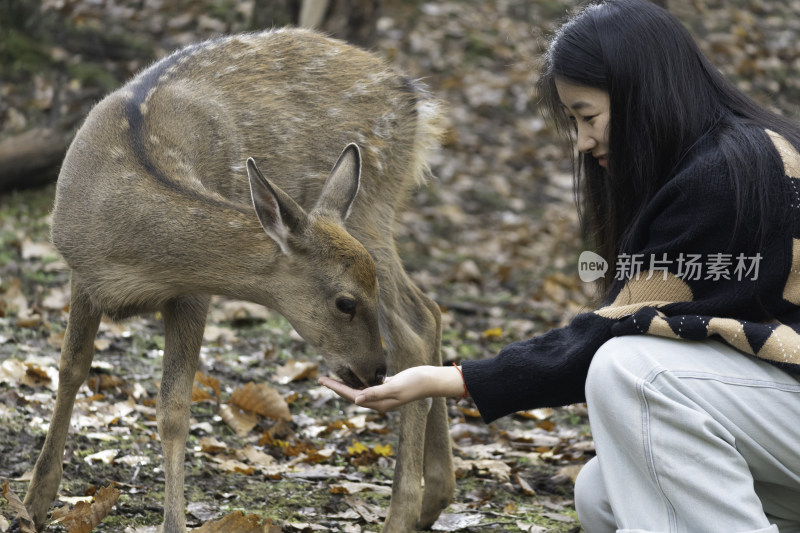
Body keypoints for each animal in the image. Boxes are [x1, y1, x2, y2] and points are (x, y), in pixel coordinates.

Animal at [18, 28, 454, 532]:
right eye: (345, 302)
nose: (374, 371)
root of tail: (415, 98)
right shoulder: (80, 273)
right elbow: (71, 368)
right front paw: (33, 503)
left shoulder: (193, 292)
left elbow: (173, 410)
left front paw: (172, 523)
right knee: (429, 313)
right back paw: (433, 501)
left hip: (373, 207)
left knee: (415, 325)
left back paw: (403, 513)